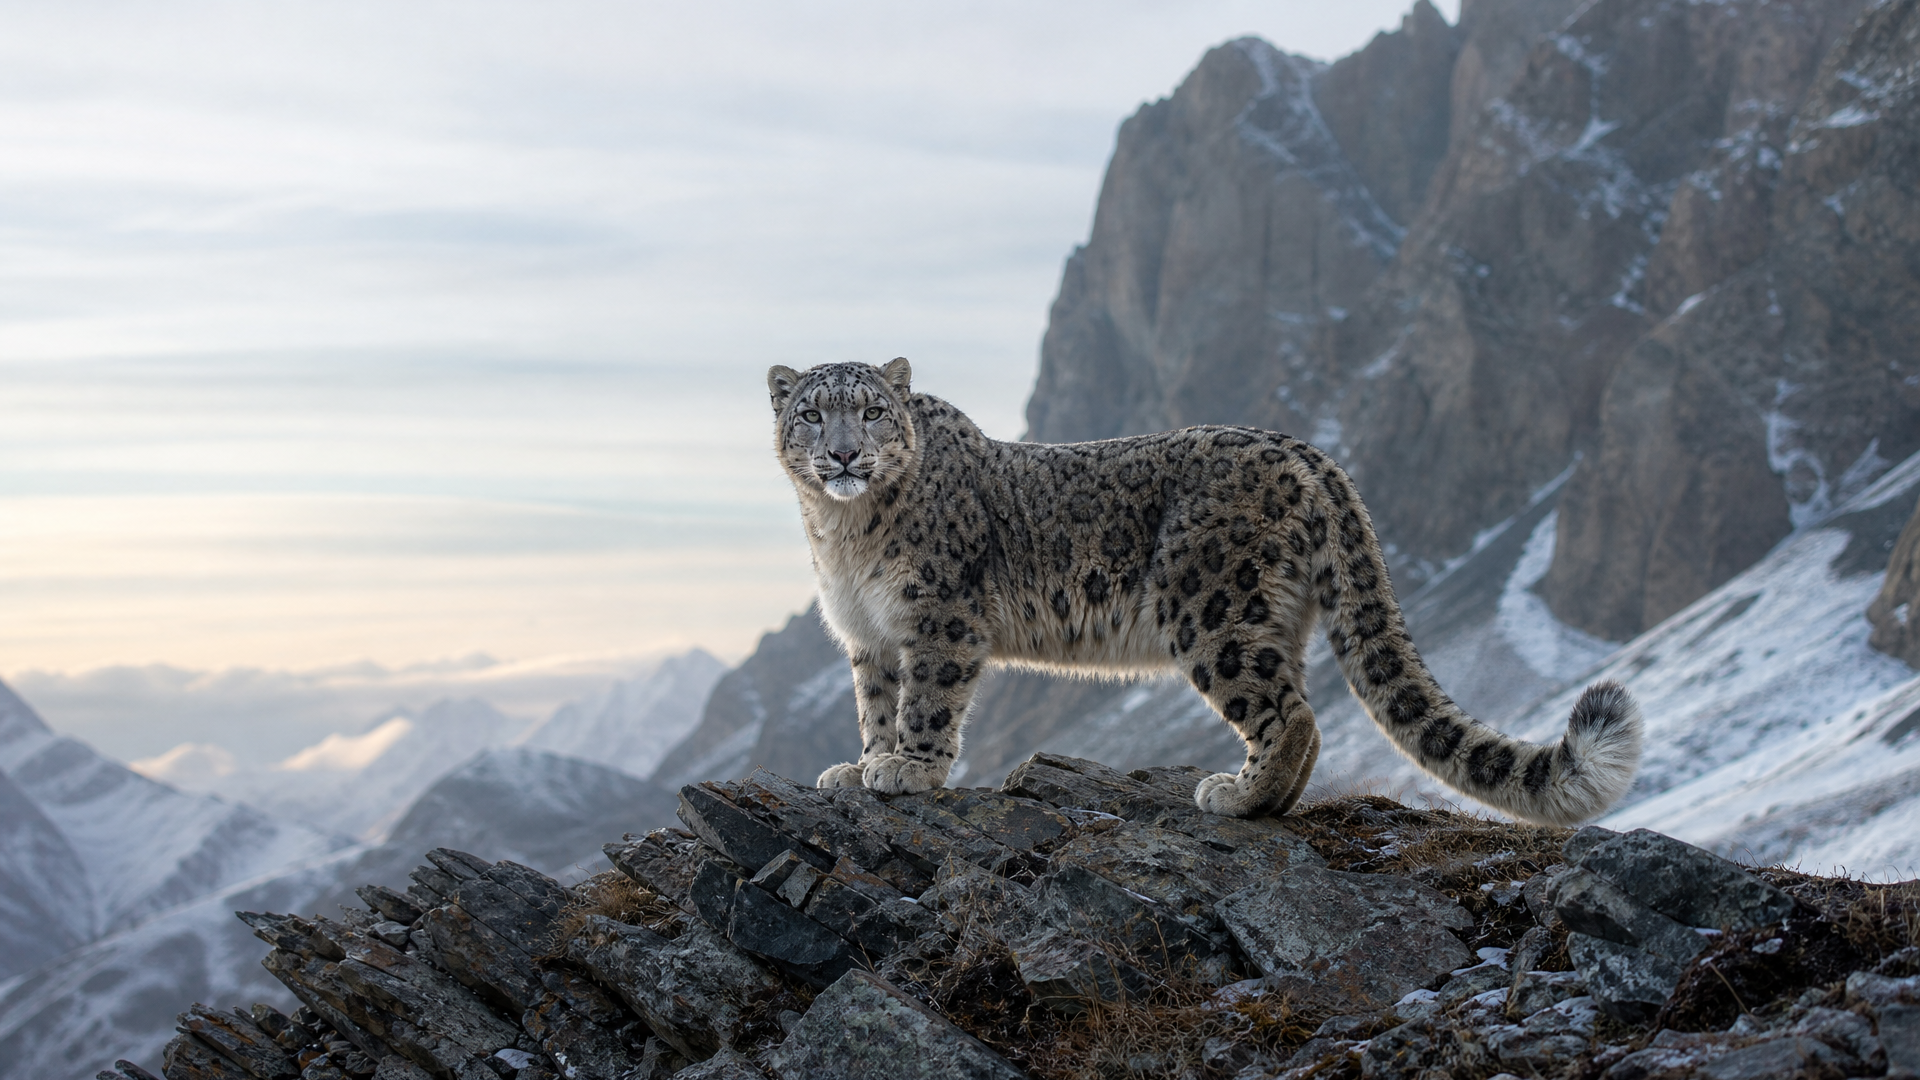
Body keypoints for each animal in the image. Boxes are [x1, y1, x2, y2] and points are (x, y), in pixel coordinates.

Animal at [767, 358, 1641, 825]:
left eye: (873, 412)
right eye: (811, 414)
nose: (842, 454)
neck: (842, 534)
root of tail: (1310, 453)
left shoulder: (938, 618)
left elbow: (926, 702)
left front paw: (908, 771)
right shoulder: (869, 636)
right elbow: (876, 705)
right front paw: (861, 766)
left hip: (1211, 609)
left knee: (1290, 712)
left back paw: (1238, 797)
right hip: (1270, 616)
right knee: (1299, 706)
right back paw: (1267, 798)